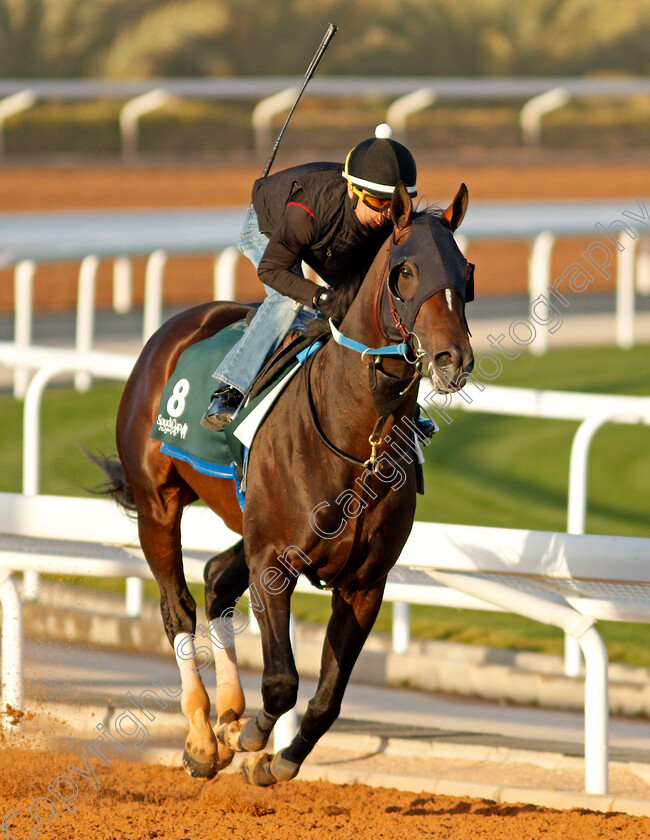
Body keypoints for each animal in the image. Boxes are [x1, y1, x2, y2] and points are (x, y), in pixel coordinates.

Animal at [92, 182, 470, 788]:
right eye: (407, 271)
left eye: (466, 271)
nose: (454, 358)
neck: (354, 438)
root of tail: (174, 330)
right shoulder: (275, 561)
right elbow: (281, 681)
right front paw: (249, 740)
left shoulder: (364, 583)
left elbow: (328, 696)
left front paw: (278, 757)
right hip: (158, 503)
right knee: (178, 606)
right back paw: (203, 736)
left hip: (243, 518)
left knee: (216, 578)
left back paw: (225, 713)